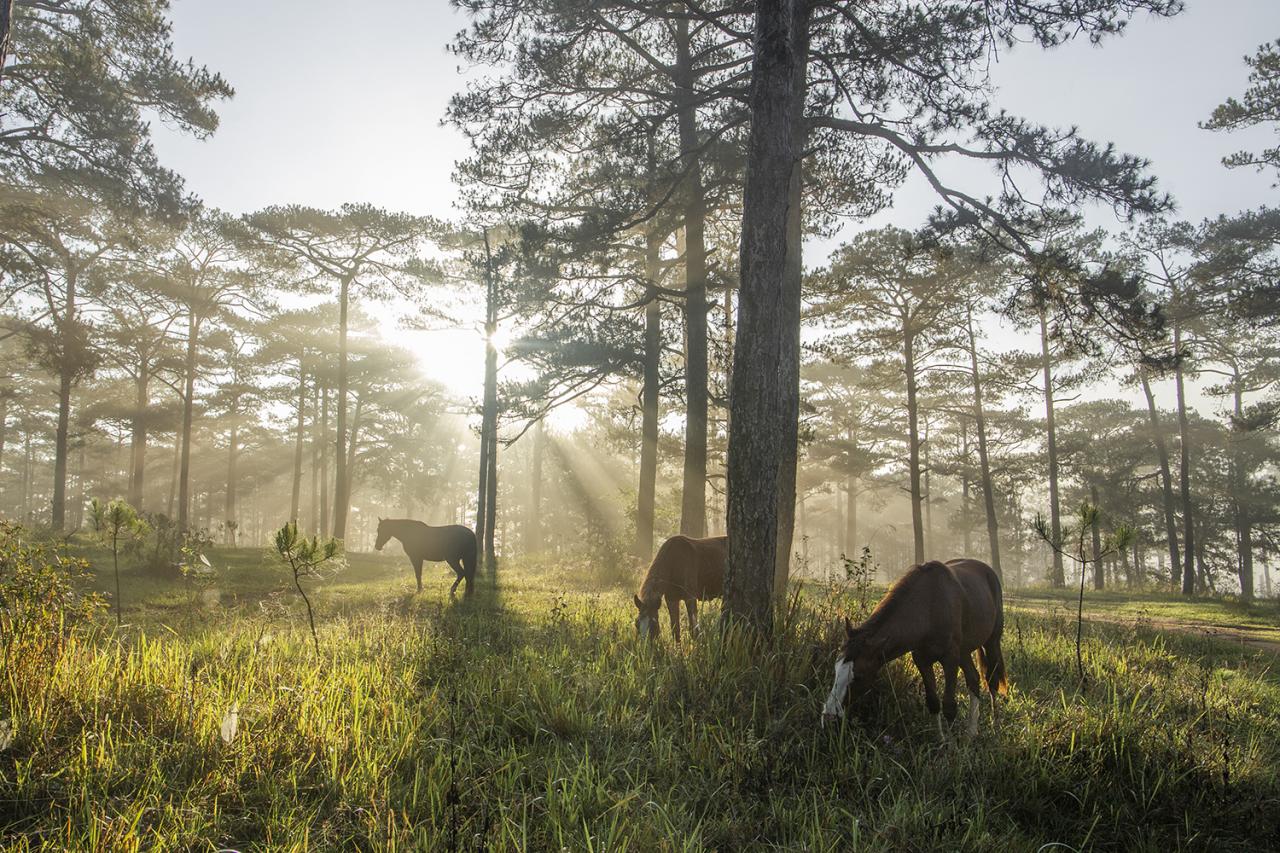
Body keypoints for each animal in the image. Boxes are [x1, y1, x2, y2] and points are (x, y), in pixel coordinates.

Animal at [819, 555, 1008, 732]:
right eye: (836, 670)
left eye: (859, 676)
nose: (829, 716)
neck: (930, 607)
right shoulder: (922, 660)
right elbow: (933, 702)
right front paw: (941, 740)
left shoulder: (950, 659)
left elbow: (949, 706)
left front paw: (952, 746)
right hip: (964, 651)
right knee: (974, 679)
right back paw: (971, 733)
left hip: (991, 642)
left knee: (991, 680)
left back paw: (996, 725)